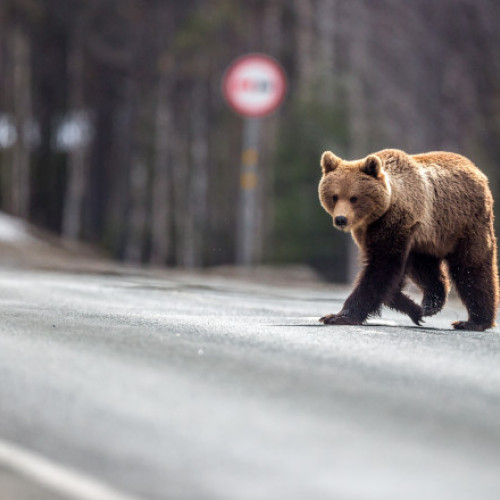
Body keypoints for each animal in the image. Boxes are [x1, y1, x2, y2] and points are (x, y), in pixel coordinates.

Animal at [318, 148, 498, 330]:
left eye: (354, 198)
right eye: (334, 196)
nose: (341, 219)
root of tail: (478, 171)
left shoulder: (395, 221)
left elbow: (382, 266)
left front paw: (338, 316)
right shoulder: (369, 231)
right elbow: (390, 275)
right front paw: (415, 309)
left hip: (464, 223)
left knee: (472, 268)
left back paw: (474, 321)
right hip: (428, 240)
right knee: (425, 268)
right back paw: (432, 302)